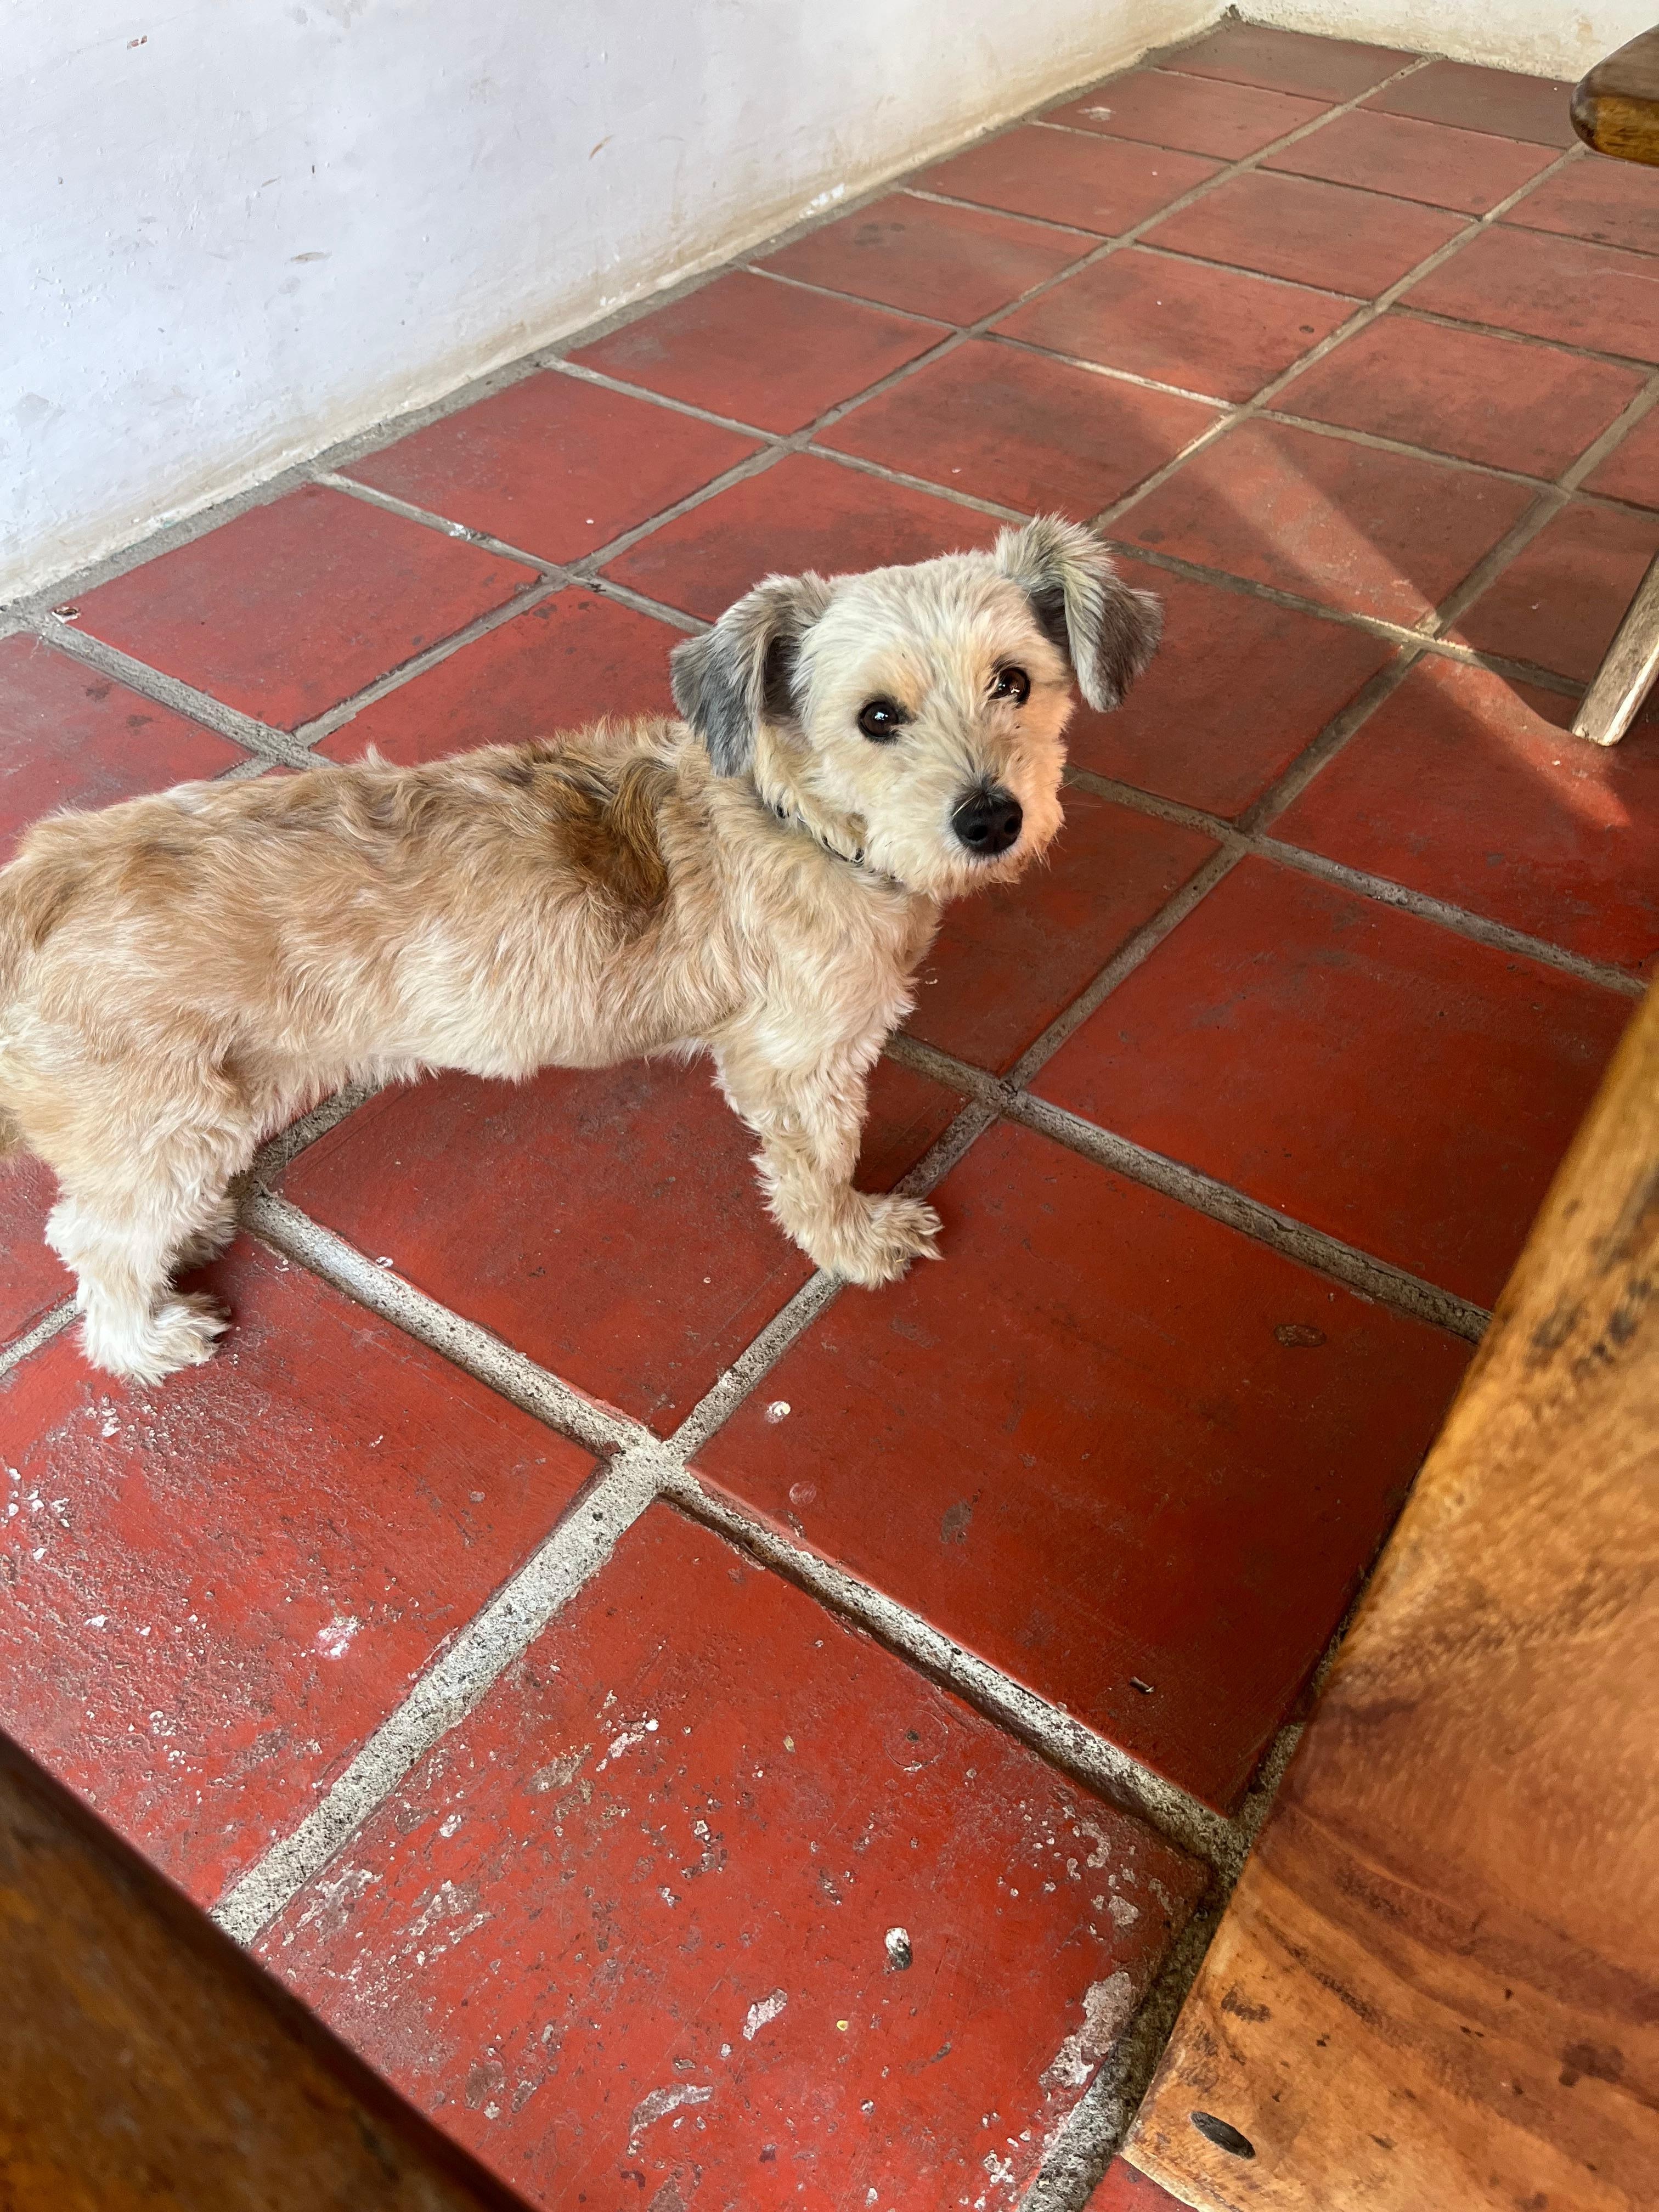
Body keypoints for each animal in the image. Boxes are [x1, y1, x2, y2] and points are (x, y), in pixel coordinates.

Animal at [0, 516, 1160, 1384]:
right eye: (876, 716)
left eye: (1013, 681)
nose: (991, 819)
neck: (793, 816)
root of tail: (36, 878)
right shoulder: (796, 1064)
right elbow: (816, 1167)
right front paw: (854, 1241)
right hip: (161, 1120)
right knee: (94, 1243)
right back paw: (149, 1338)